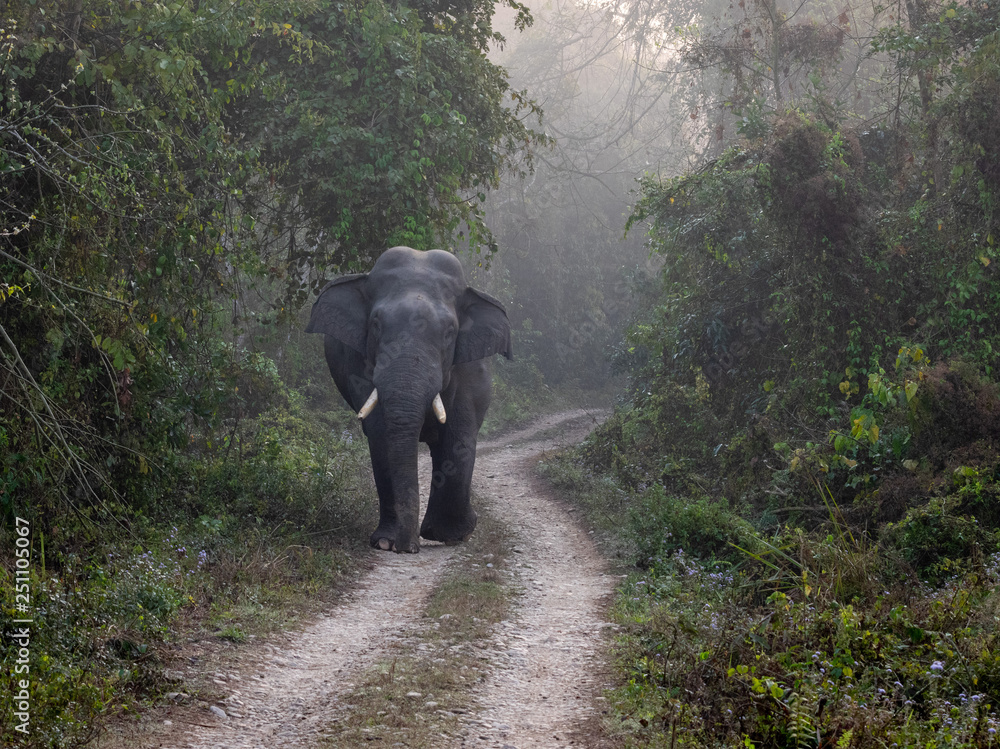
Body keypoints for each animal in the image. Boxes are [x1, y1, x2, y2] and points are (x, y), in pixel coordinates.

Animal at [306, 246, 512, 552]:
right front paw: (385, 543)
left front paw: (454, 535)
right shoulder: (362, 364)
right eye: (376, 324)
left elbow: (458, 436)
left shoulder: (467, 368)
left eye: (450, 332)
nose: (409, 547)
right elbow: (381, 435)